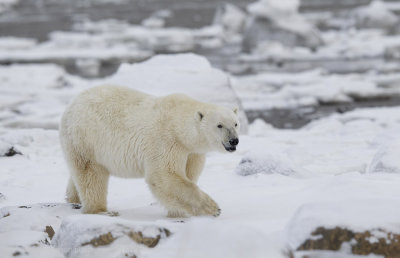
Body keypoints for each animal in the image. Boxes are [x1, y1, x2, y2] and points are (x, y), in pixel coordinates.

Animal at [58, 85, 241, 217]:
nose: (234, 140)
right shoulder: (167, 141)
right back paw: (99, 209)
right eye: (219, 125)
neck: (179, 126)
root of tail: (71, 105)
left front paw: (178, 212)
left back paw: (73, 198)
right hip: (87, 138)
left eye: (235, 123)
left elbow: (188, 174)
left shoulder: (192, 152)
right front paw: (213, 208)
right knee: (91, 174)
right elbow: (165, 176)